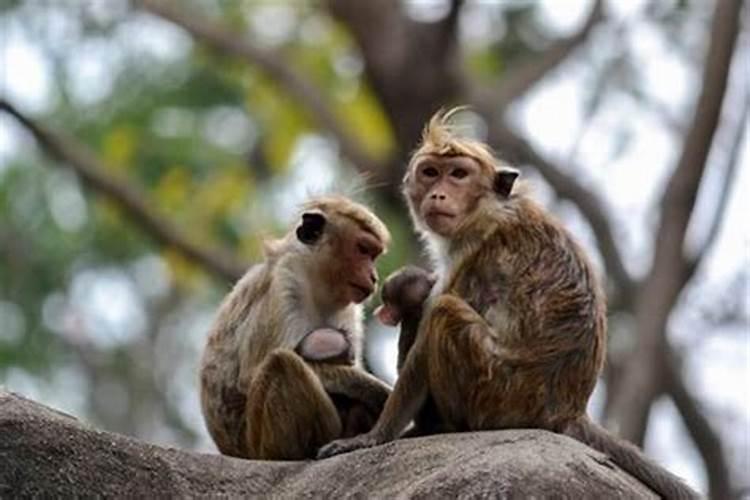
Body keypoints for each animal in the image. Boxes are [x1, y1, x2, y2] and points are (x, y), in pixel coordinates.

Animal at [203, 195, 396, 460]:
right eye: (363, 249)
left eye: (373, 255)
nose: (374, 277)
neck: (316, 283)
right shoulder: (285, 283)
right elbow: (249, 377)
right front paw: (371, 387)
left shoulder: (350, 309)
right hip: (258, 443)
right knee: (281, 364)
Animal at [320, 109, 704, 500]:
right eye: (430, 172)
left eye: (458, 174)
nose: (439, 194)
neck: (487, 209)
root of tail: (568, 411)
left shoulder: (470, 253)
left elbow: (422, 345)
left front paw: (372, 437)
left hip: (497, 392)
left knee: (445, 312)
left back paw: (442, 426)